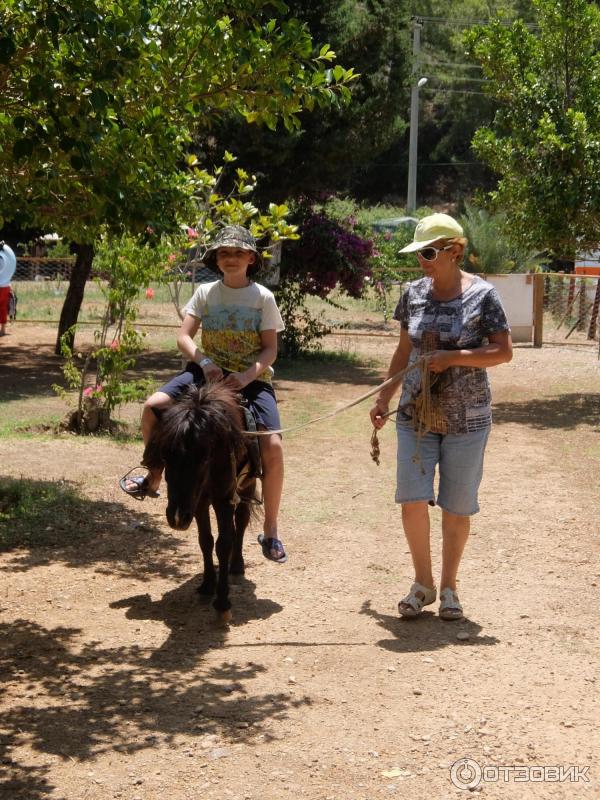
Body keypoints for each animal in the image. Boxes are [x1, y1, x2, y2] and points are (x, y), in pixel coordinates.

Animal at [145, 384, 260, 620]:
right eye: (164, 456)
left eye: (205, 457)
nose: (177, 518)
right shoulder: (197, 503)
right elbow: (205, 540)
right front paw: (208, 585)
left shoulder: (223, 499)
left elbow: (223, 544)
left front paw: (223, 603)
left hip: (247, 486)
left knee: (241, 521)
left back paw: (237, 565)